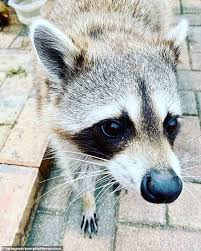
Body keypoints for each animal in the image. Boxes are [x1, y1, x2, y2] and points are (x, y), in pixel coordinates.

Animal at [30, 0, 188, 237]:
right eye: (113, 127)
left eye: (170, 124)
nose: (166, 189)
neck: (111, 31)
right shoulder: (57, 126)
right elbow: (79, 170)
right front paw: (88, 201)